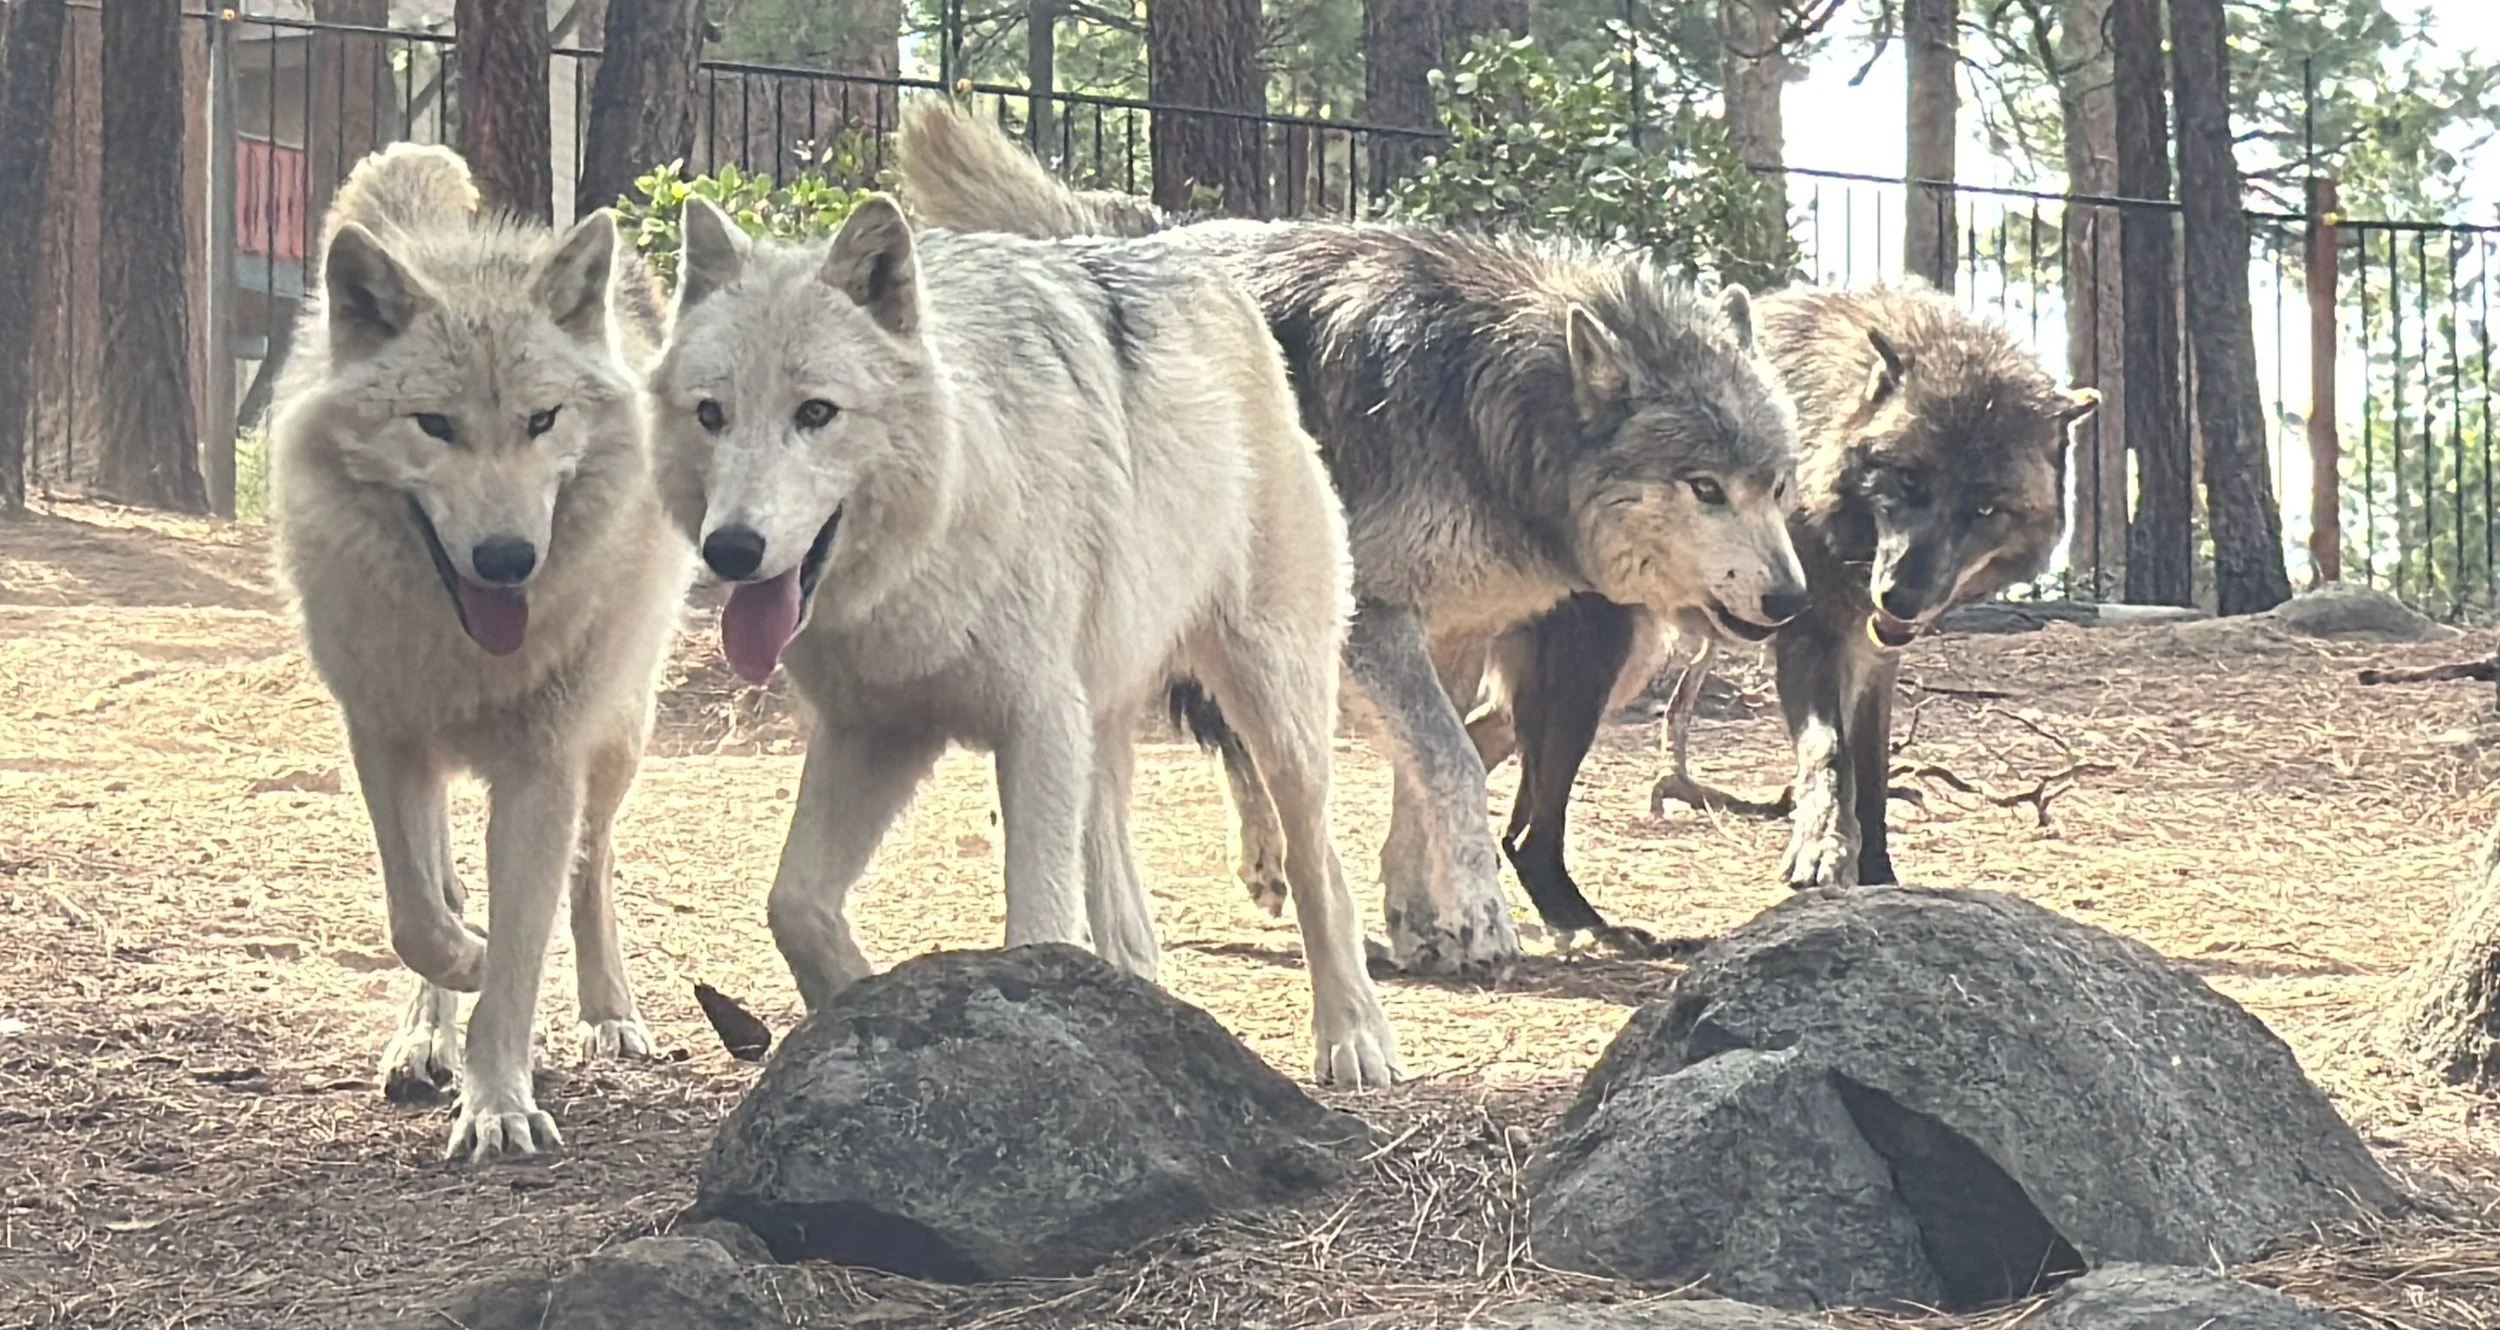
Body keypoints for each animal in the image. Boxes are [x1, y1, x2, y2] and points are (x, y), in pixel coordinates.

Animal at [266, 144, 689, 1161]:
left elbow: (525, 948)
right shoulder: (384, 742)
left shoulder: (543, 767)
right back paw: (424, 1037)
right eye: (435, 424)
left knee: (593, 868)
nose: (506, 559)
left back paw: (609, 1015)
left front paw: (498, 1104)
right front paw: (460, 981)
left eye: (542, 420)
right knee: (449, 888)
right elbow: (421, 916)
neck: (464, 654)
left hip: (619, 740)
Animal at [646, 174, 1401, 1086]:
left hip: (1270, 697)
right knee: (1114, 858)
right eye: (711, 414)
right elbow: (793, 905)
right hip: (1099, 709)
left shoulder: (1035, 722)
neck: (940, 529)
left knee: (1317, 859)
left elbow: (1037, 921)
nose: (731, 548)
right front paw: (858, 1001)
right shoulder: (876, 730)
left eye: (816, 412)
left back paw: (1354, 1037)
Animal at [897, 106, 1809, 973]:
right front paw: (1481, 915)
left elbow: (1426, 771)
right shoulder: (1373, 617)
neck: (1486, 407)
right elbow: (1451, 762)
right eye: (1705, 488)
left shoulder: (1453, 627)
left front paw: (1422, 922)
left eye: (1777, 485)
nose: (1792, 599)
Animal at [1470, 283, 2100, 934]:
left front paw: (1877, 875)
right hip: (1596, 675)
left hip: (1614, 675)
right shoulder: (1810, 640)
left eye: (1985, 508)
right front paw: (1822, 849)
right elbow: (1831, 755)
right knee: (1525, 831)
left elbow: (1872, 777)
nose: (1900, 597)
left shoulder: (1876, 659)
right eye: (1907, 478)